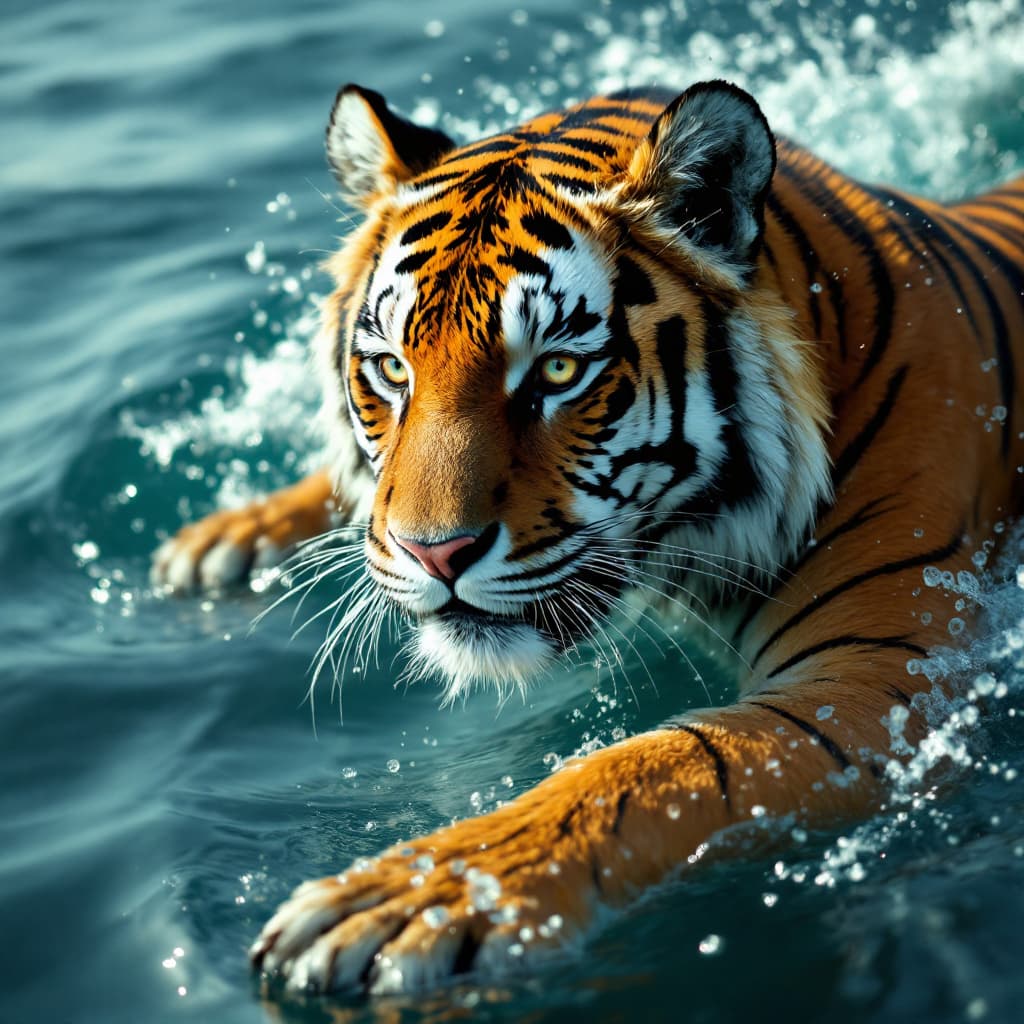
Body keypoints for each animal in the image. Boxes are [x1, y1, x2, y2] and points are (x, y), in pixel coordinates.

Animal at [151, 79, 1024, 994]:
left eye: (558, 371)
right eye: (392, 369)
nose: (434, 552)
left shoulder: (879, 683)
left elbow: (659, 763)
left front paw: (425, 895)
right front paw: (226, 539)